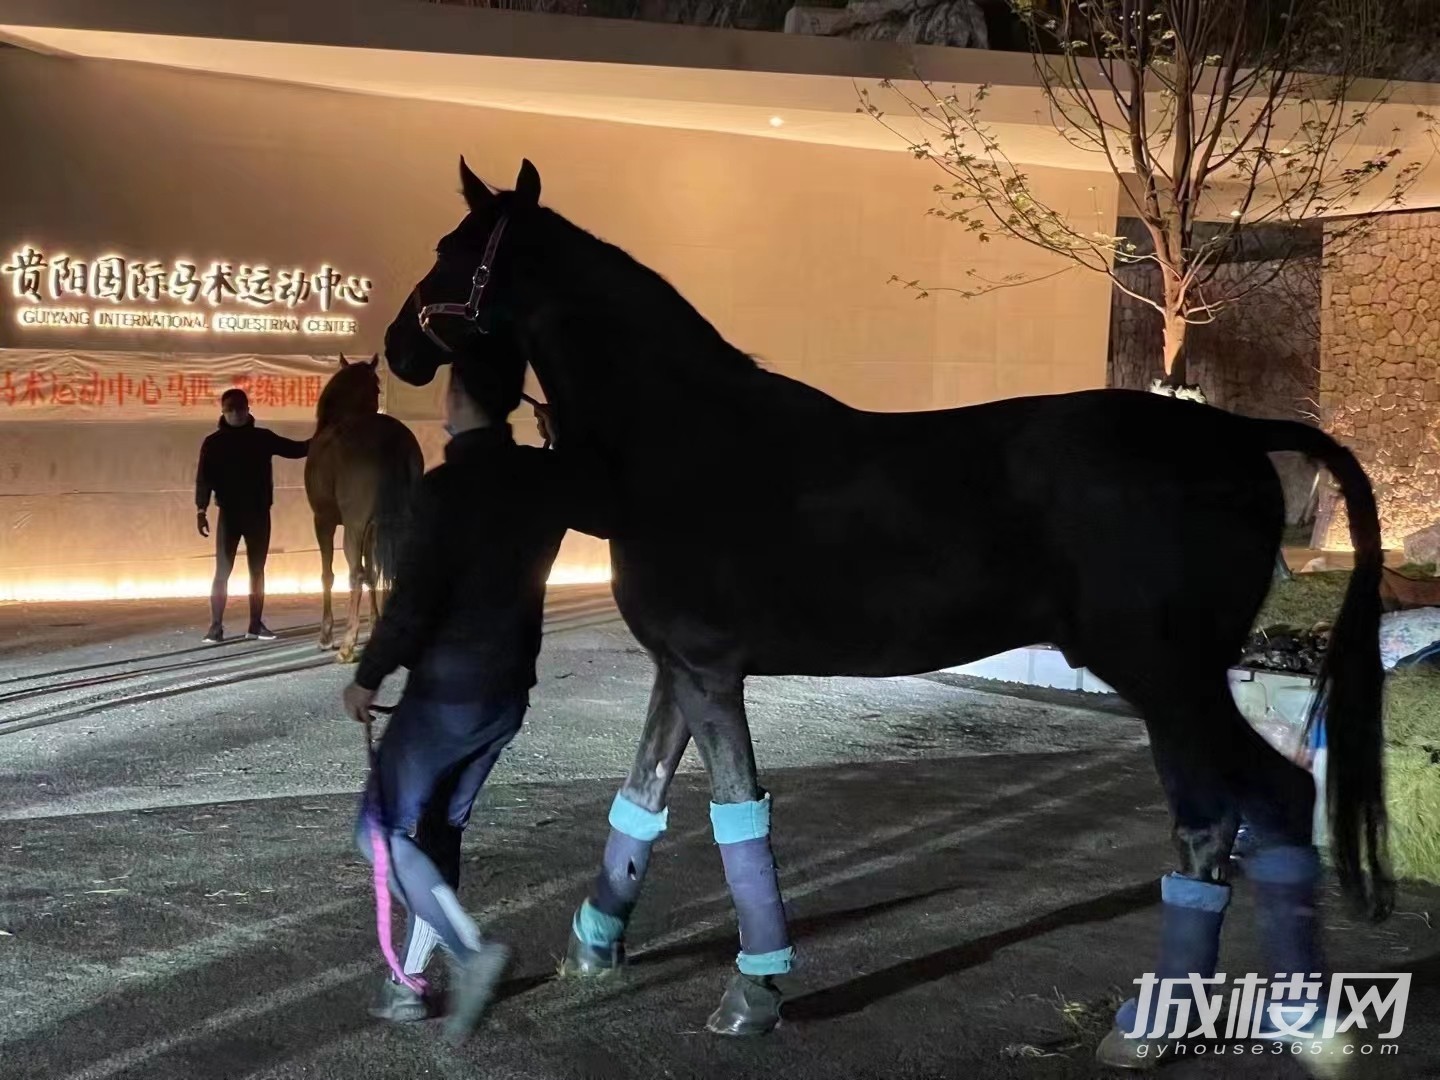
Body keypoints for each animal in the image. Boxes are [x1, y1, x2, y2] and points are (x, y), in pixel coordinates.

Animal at [304, 355, 424, 662]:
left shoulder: (324, 522)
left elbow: (329, 575)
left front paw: (326, 637)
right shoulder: (372, 530)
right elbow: (373, 573)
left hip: (352, 530)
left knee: (354, 574)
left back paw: (347, 645)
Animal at [381, 160, 1387, 1058]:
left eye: (452, 252)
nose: (396, 345)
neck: (681, 445)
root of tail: (1239, 434)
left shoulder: (710, 671)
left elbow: (737, 813)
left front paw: (753, 993)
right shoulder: (680, 671)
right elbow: (638, 803)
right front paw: (595, 946)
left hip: (1167, 679)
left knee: (1250, 807)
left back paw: (1211, 1022)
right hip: (1180, 683)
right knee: (1240, 815)